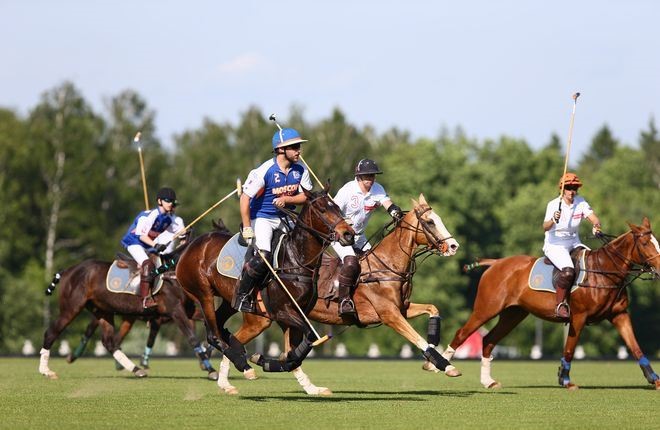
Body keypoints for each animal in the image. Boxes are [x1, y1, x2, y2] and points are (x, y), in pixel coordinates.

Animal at [38, 260, 213, 378]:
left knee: (109, 342)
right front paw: (211, 370)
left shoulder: (189, 311)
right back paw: (46, 370)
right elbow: (192, 338)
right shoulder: (175, 311)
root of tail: (69, 269)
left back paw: (136, 369)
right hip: (71, 307)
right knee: (51, 332)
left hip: (103, 311)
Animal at [173, 186, 354, 392]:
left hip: (230, 300)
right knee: (212, 334)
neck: (296, 260)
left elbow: (296, 351)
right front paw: (265, 361)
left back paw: (232, 363)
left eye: (337, 207)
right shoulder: (281, 312)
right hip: (204, 294)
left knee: (219, 325)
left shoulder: (295, 313)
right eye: (322, 210)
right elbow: (308, 337)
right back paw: (243, 364)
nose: (349, 234)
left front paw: (308, 386)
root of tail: (190, 246)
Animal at [214, 195, 462, 396]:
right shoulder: (389, 314)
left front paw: (432, 361)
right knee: (234, 341)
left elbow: (433, 309)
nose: (453, 246)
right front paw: (446, 366)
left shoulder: (402, 308)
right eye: (430, 222)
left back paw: (300, 382)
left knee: (286, 353)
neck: (387, 267)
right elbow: (417, 338)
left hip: (285, 319)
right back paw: (230, 382)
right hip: (259, 320)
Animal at [444, 218, 660, 390]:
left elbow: (635, 347)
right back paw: (443, 366)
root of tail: (495, 263)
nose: (659, 268)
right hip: (486, 308)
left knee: (489, 339)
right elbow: (570, 349)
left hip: (513, 314)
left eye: (656, 241)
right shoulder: (578, 317)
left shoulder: (619, 315)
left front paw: (654, 379)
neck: (603, 273)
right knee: (462, 333)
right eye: (645, 243)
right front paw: (565, 380)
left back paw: (488, 382)